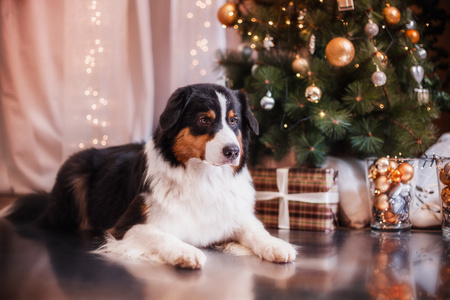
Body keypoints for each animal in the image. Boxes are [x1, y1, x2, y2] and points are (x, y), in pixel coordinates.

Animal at [3, 83, 298, 268]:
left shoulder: (232, 215)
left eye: (234, 121)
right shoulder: (126, 226)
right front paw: (185, 252)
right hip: (75, 173)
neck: (203, 177)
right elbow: (162, 236)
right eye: (204, 120)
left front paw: (277, 245)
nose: (233, 151)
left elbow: (255, 229)